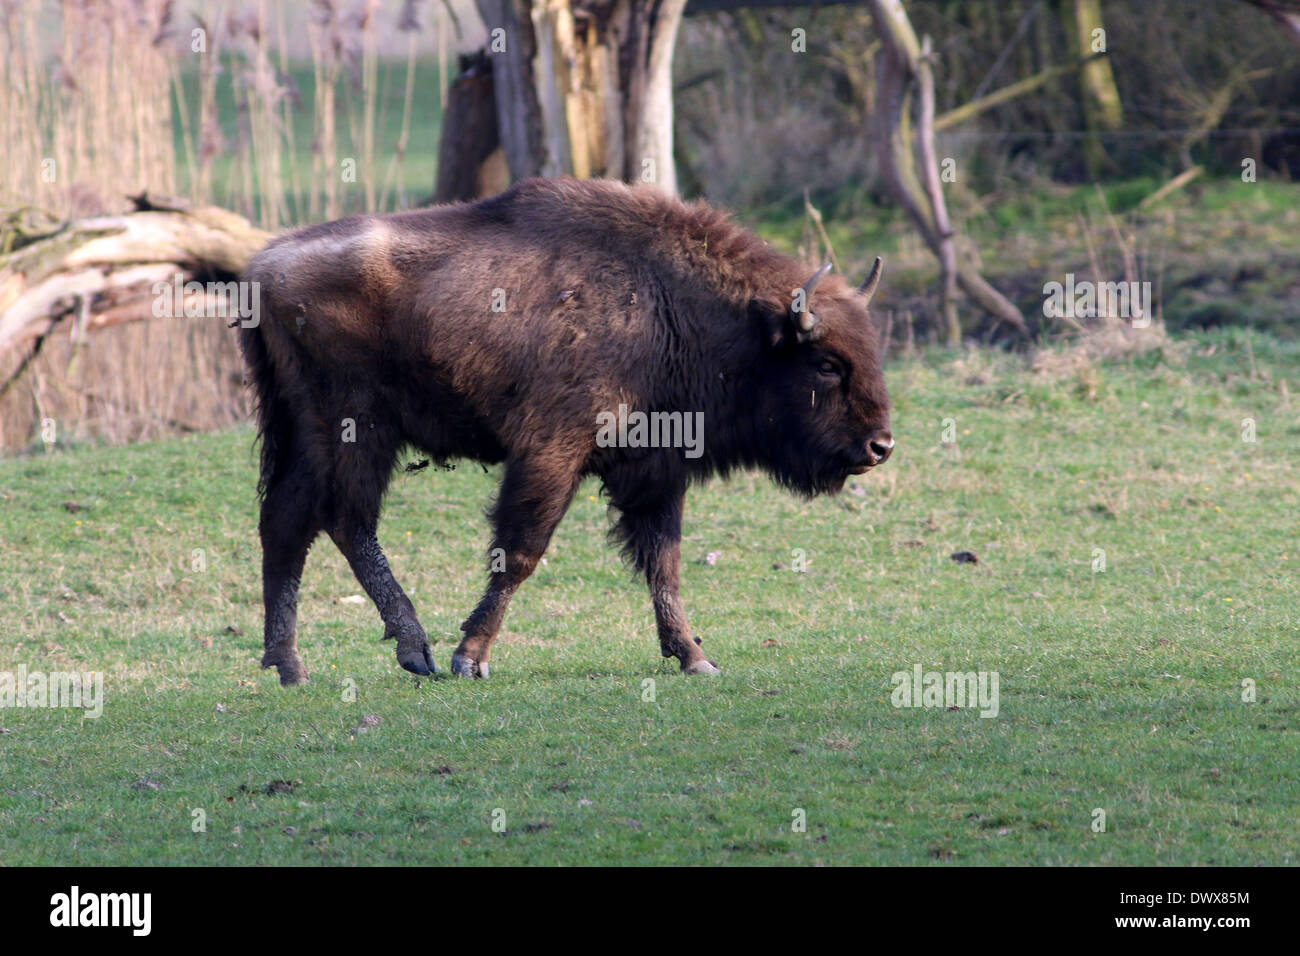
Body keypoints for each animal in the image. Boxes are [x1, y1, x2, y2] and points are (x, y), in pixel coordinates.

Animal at [239, 178, 894, 686]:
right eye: (827, 363)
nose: (880, 446)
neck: (667, 304)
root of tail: (263, 265)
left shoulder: (655, 472)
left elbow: (664, 563)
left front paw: (694, 657)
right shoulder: (552, 452)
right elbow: (521, 551)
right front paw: (469, 658)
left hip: (306, 429)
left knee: (287, 521)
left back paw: (289, 665)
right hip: (356, 426)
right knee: (346, 520)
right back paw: (414, 649)